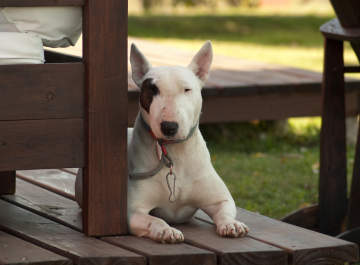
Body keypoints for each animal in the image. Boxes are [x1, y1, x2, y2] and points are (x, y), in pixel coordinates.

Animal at [74, 40, 249, 241]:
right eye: (153, 90)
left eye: (187, 89)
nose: (169, 126)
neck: (175, 155)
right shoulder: (131, 212)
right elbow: (154, 219)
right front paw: (166, 230)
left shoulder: (219, 198)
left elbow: (225, 208)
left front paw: (231, 224)